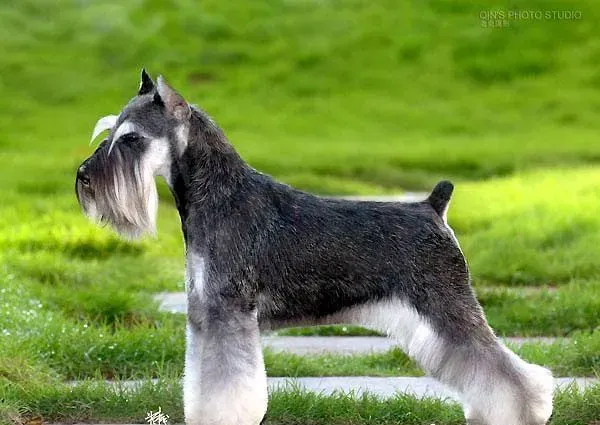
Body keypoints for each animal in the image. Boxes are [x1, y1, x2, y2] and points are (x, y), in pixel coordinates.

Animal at [75, 70, 552, 424]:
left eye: (131, 139)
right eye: (109, 132)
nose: (83, 177)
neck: (220, 196)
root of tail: (433, 207)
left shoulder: (227, 312)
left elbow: (225, 384)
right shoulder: (207, 313)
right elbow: (204, 378)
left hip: (446, 306)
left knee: (506, 371)